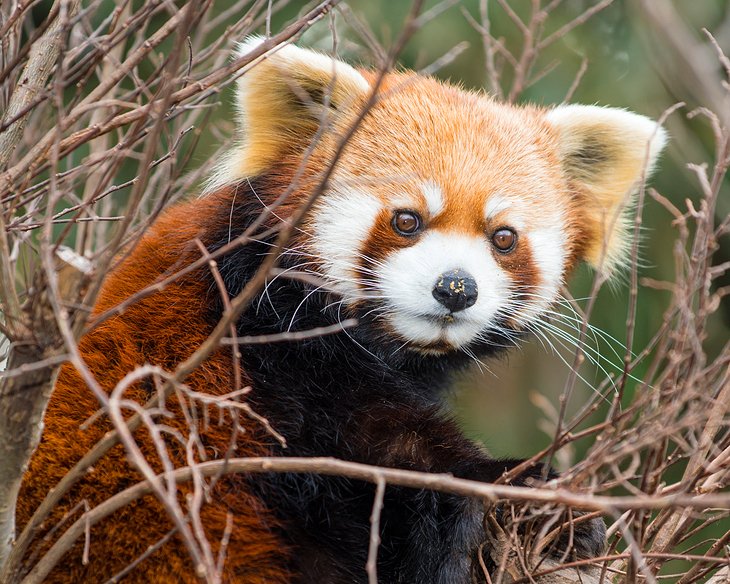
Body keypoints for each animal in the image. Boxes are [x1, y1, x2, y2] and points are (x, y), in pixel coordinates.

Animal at [17, 37, 664, 584]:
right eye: (407, 220)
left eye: (503, 238)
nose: (456, 288)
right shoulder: (266, 362)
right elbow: (388, 459)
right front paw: (516, 486)